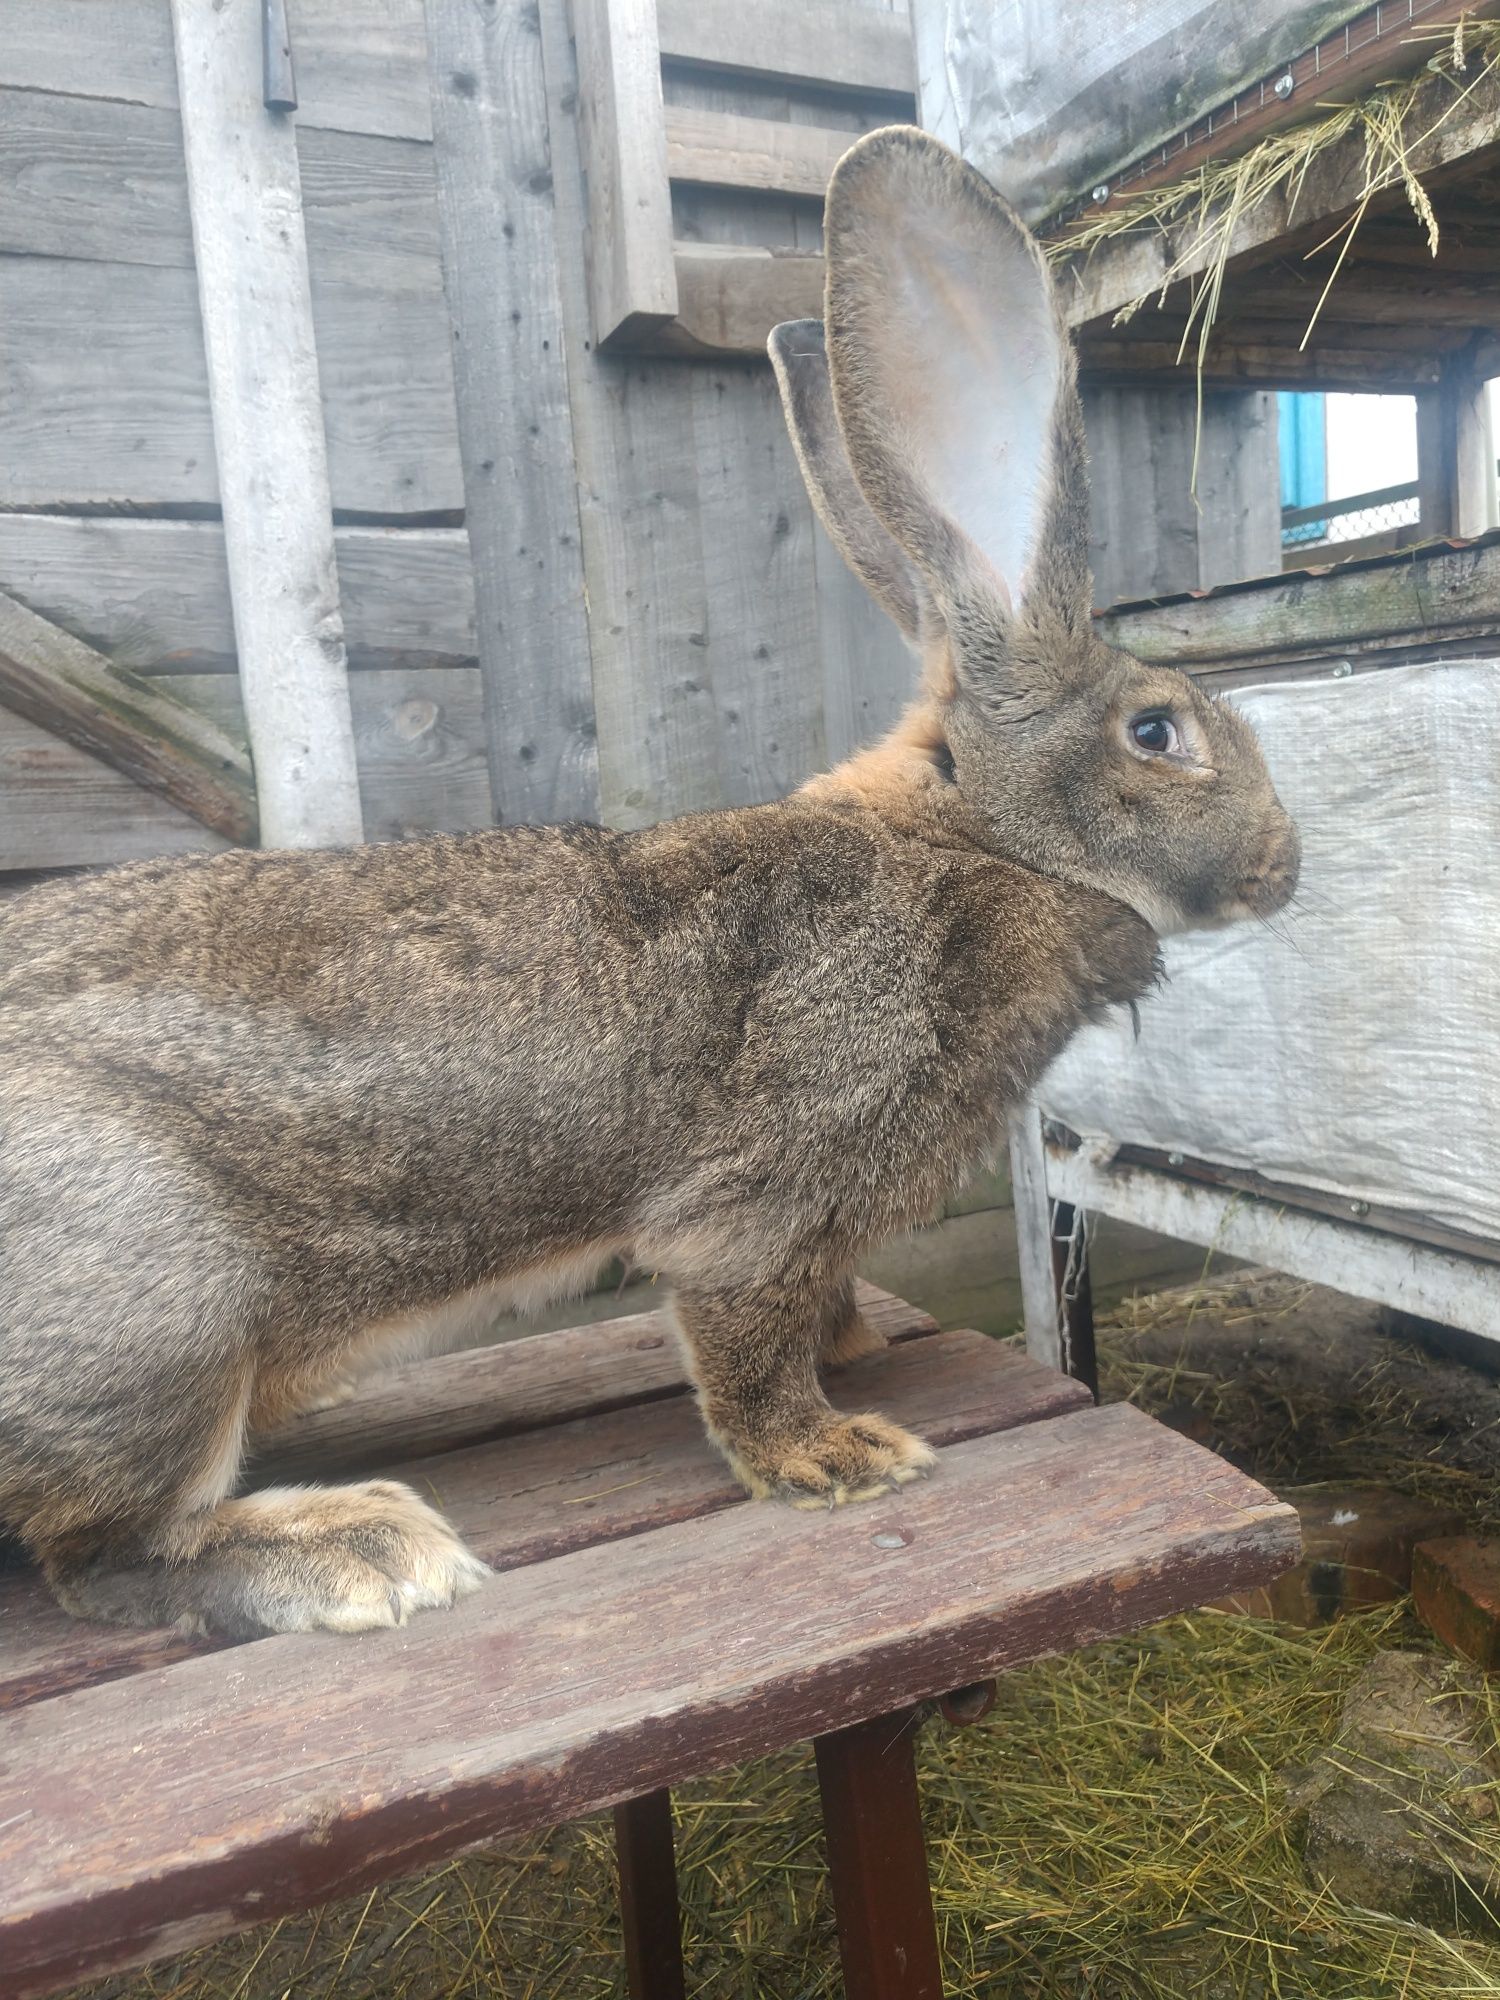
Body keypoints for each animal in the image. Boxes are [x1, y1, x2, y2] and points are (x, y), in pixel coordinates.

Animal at [0, 133, 1304, 1648]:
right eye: (1159, 733)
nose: (1286, 864)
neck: (977, 843)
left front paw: (861, 1350)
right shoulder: (771, 1189)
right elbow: (744, 1329)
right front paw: (832, 1452)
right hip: (159, 1316)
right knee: (107, 1554)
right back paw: (360, 1549)